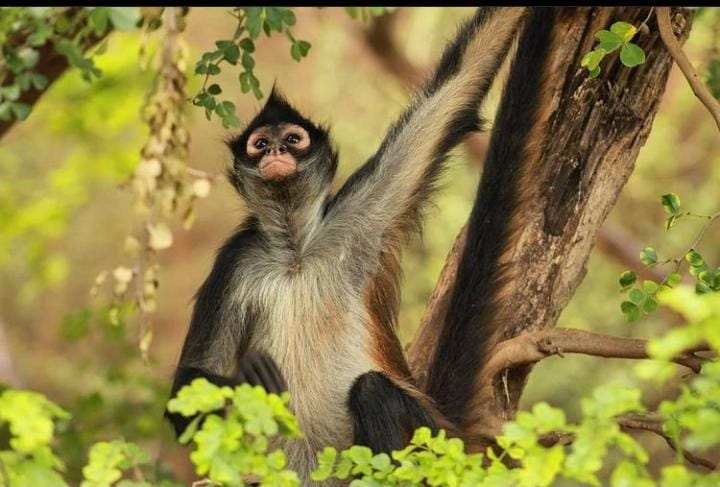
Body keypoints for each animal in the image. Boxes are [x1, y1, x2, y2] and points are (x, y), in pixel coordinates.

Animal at [169, 5, 540, 486]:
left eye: (292, 139)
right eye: (259, 143)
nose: (274, 152)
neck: (296, 253)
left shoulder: (357, 219)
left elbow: (458, 86)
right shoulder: (236, 260)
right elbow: (187, 387)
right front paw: (246, 381)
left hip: (428, 442)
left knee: (372, 389)